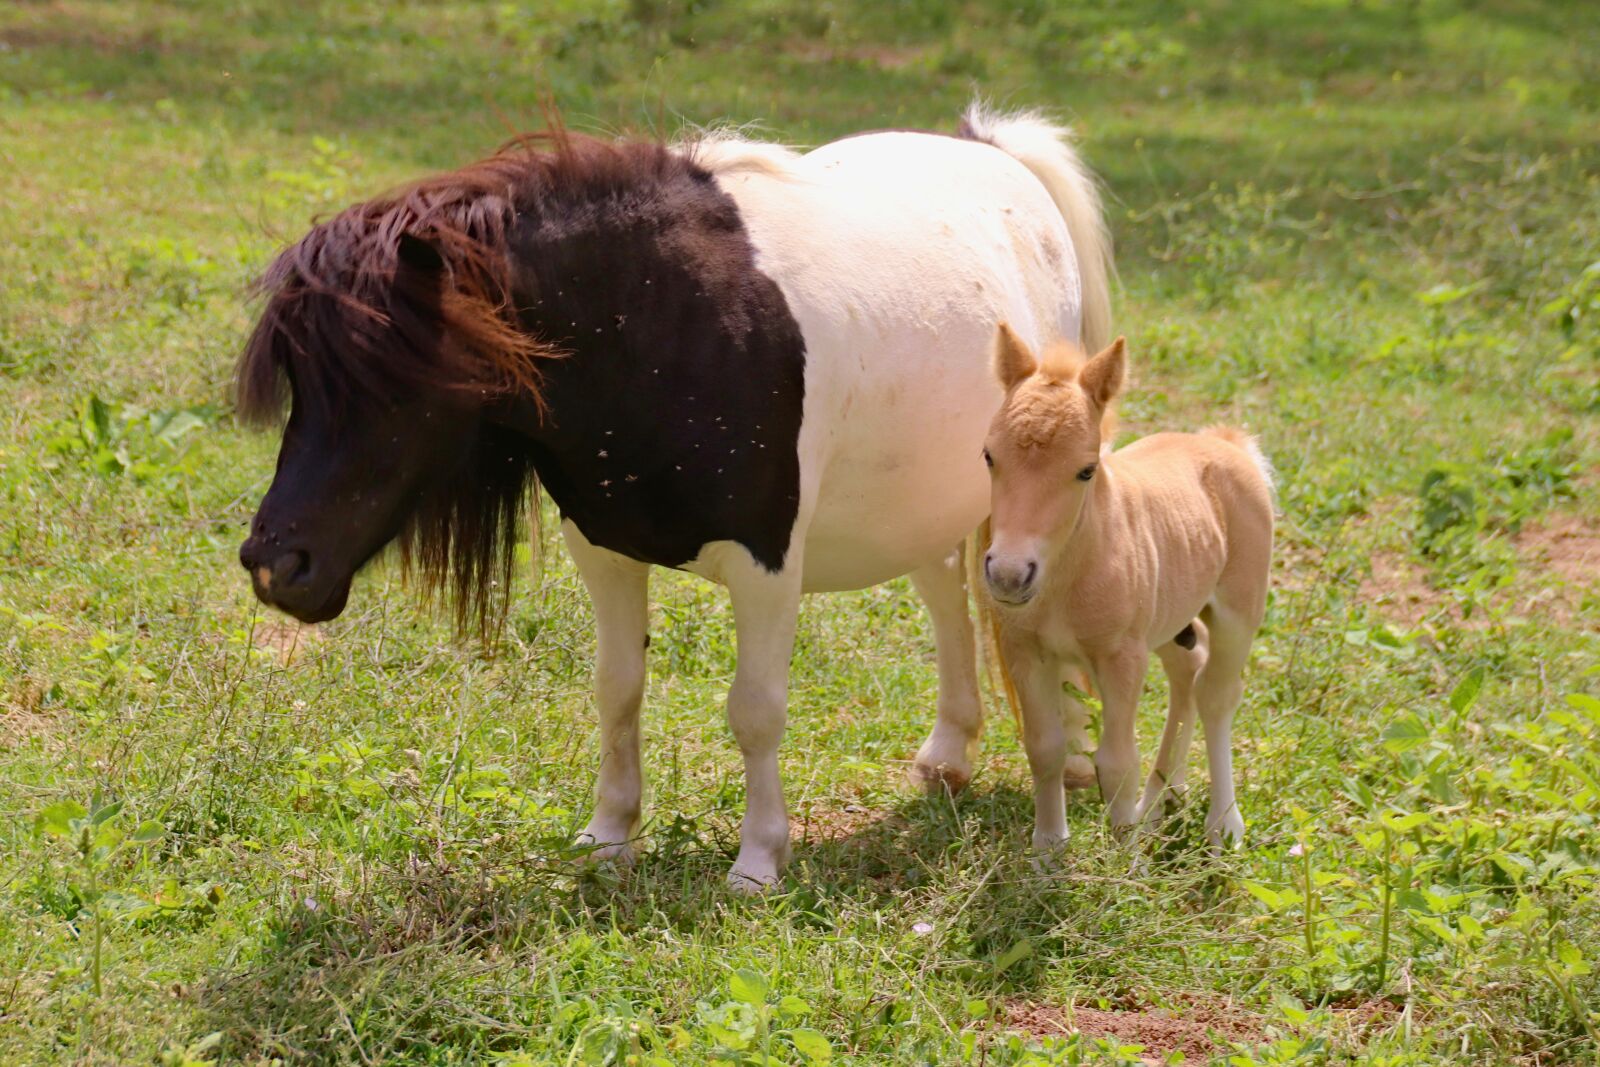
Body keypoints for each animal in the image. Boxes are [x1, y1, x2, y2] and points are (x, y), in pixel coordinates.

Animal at [235, 105, 1113, 890]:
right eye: (301, 382)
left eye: (389, 383)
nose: (274, 563)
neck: (660, 326)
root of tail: (990, 148)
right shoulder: (603, 548)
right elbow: (616, 688)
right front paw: (608, 835)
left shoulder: (767, 563)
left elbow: (755, 709)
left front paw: (758, 860)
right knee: (941, 588)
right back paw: (951, 752)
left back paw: (1068, 753)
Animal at [978, 325, 1273, 852]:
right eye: (989, 455)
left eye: (1086, 469)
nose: (1009, 574)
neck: (1066, 576)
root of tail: (1229, 446)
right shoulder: (1024, 650)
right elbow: (1045, 749)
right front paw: (1048, 851)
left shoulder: (1121, 657)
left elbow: (1117, 763)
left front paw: (1124, 859)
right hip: (1171, 618)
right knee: (1188, 673)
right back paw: (1157, 803)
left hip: (1240, 610)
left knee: (1217, 693)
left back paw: (1222, 825)